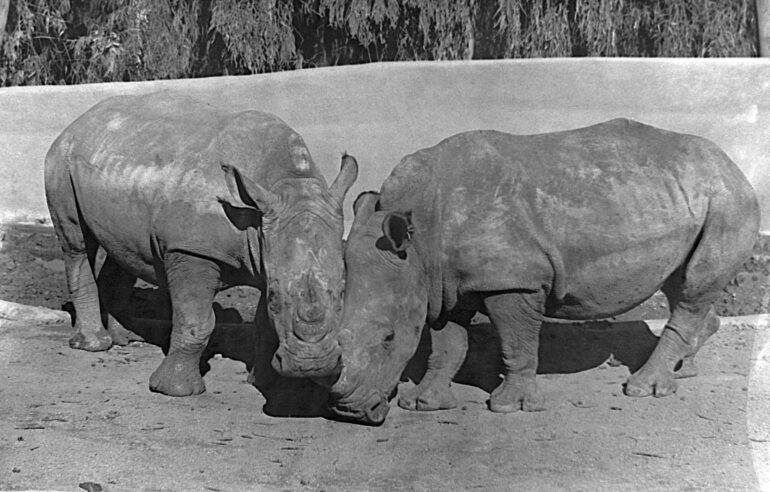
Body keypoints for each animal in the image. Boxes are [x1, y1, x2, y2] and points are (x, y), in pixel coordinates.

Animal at [44, 92, 357, 396]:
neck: (286, 181)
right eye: (274, 297)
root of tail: (78, 121)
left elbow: (263, 325)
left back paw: (126, 339)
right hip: (61, 159)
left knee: (124, 250)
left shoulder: (267, 250)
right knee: (77, 243)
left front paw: (263, 383)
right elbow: (197, 320)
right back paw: (94, 345)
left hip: (117, 164)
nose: (313, 366)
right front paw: (174, 390)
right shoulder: (191, 248)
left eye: (343, 294)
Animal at [328, 119, 759, 425]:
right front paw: (423, 403)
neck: (419, 241)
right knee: (680, 285)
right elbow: (447, 343)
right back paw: (683, 372)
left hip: (728, 201)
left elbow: (515, 341)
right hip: (683, 199)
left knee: (692, 287)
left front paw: (509, 408)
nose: (350, 412)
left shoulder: (511, 281)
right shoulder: (444, 285)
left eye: (388, 339)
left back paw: (643, 389)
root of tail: (732, 164)